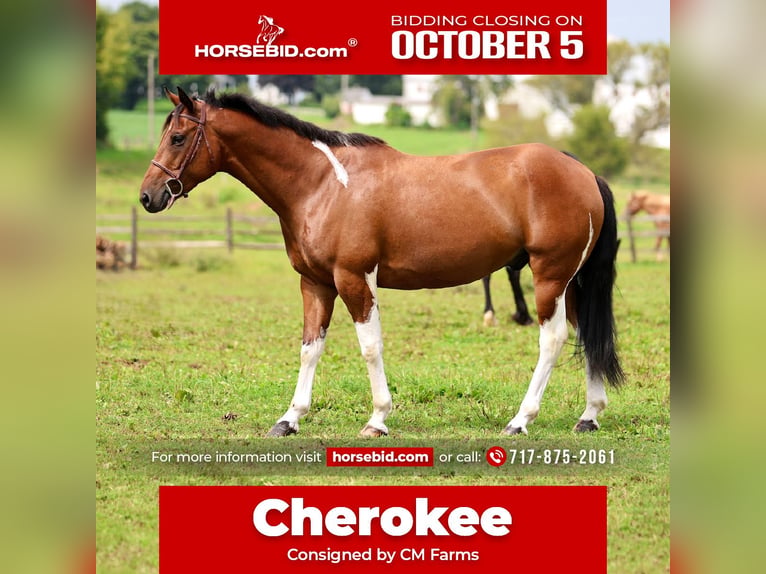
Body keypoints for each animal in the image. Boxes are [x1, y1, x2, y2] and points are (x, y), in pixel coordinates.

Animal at [140, 87, 623, 437]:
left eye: (178, 137)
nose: (148, 196)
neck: (322, 184)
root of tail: (583, 171)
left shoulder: (354, 279)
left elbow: (370, 347)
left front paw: (377, 419)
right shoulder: (315, 283)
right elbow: (310, 348)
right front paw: (289, 418)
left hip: (549, 277)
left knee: (553, 339)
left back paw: (521, 420)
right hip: (572, 282)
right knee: (585, 334)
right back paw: (589, 415)